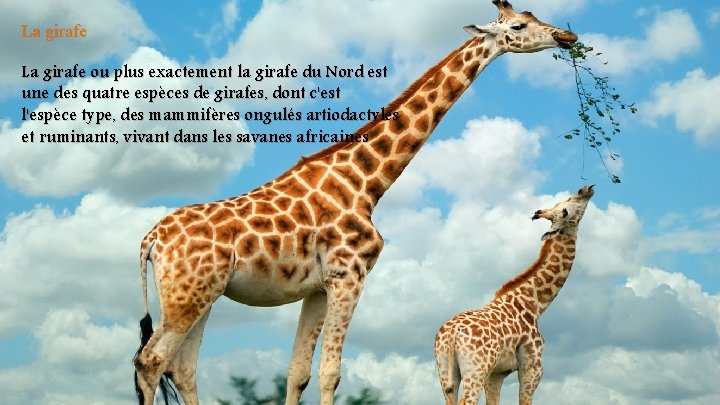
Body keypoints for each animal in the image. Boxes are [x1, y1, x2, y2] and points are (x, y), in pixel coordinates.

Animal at [132, 2, 578, 404]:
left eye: (533, 15)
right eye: (519, 26)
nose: (566, 36)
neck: (368, 183)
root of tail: (150, 240)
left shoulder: (317, 287)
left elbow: (298, 373)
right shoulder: (349, 275)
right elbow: (330, 373)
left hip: (202, 295)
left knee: (182, 368)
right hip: (187, 297)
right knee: (150, 361)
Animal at [434, 185, 595, 405]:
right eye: (565, 210)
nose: (585, 189)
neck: (535, 304)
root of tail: (451, 334)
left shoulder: (496, 374)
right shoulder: (532, 367)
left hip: (446, 373)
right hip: (476, 369)